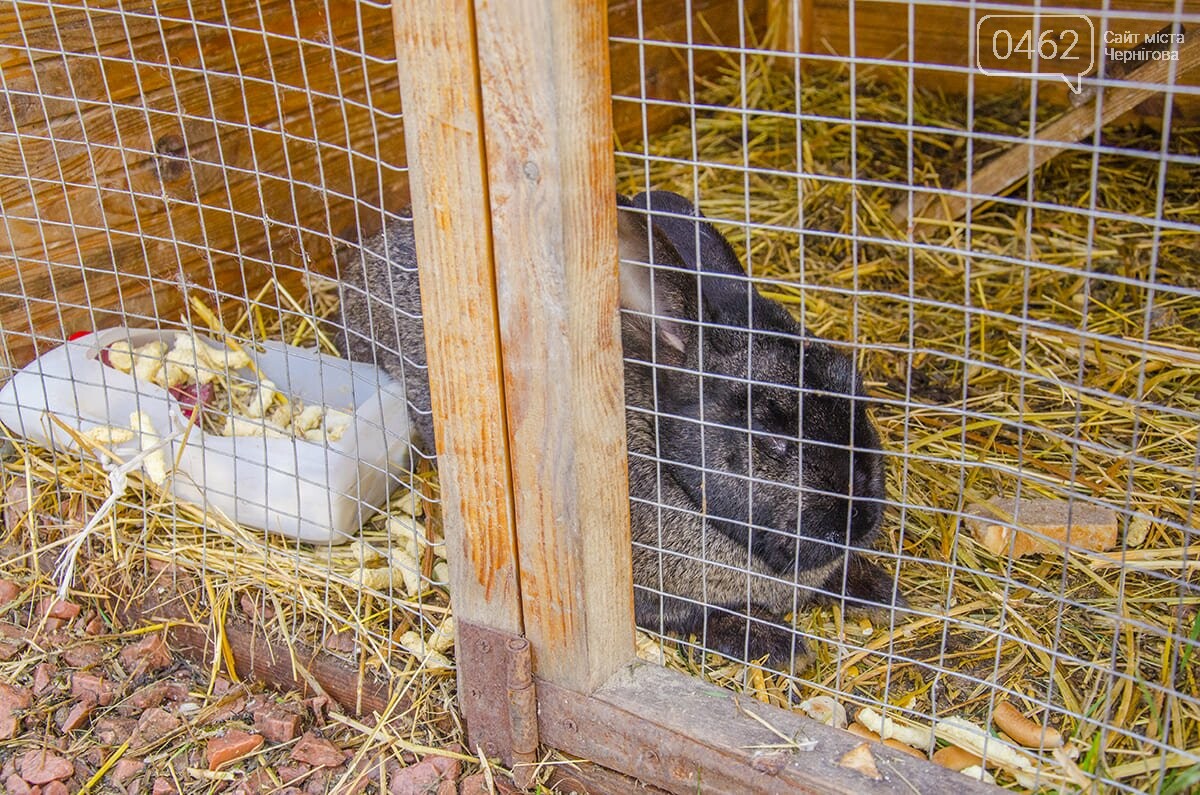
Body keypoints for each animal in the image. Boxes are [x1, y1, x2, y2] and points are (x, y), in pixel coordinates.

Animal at [338, 194, 902, 672]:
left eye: (858, 392)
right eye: (771, 433)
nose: (860, 521)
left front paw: (880, 589)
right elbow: (702, 616)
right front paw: (781, 644)